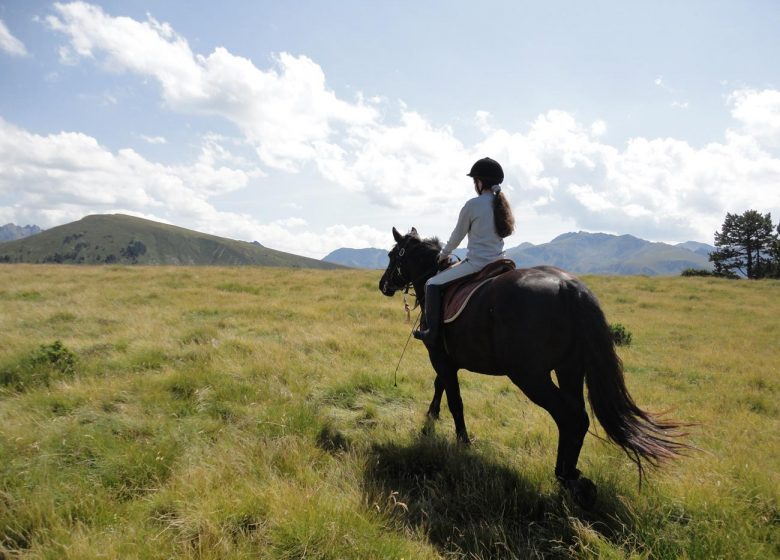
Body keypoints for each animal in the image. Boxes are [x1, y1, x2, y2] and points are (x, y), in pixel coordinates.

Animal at [378, 226, 688, 508]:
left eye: (393, 255)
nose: (383, 285)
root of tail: (569, 288)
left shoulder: (439, 356)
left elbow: (455, 399)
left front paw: (460, 441)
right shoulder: (448, 361)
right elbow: (440, 385)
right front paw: (431, 418)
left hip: (530, 377)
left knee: (569, 416)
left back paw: (566, 477)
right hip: (569, 369)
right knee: (577, 416)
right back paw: (572, 477)